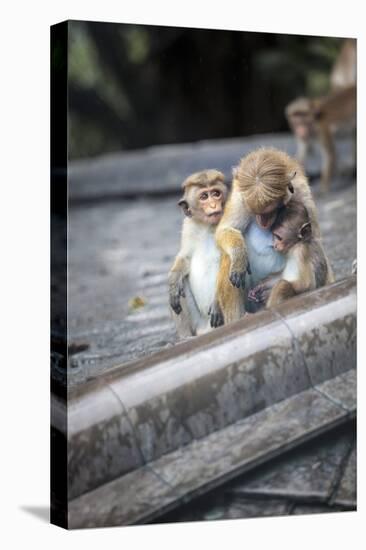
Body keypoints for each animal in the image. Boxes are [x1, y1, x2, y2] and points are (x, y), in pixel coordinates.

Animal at [169, 170, 229, 338]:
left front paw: (216, 303)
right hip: (198, 322)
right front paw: (174, 281)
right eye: (204, 197)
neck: (208, 227)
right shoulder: (189, 226)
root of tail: (206, 330)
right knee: (181, 286)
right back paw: (185, 338)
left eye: (216, 193)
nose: (213, 205)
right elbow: (185, 258)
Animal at [209, 147, 320, 328]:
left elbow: (313, 240)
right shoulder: (241, 198)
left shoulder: (301, 192)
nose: (263, 221)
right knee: (229, 253)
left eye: (270, 211)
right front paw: (239, 258)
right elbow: (225, 230)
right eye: (256, 211)